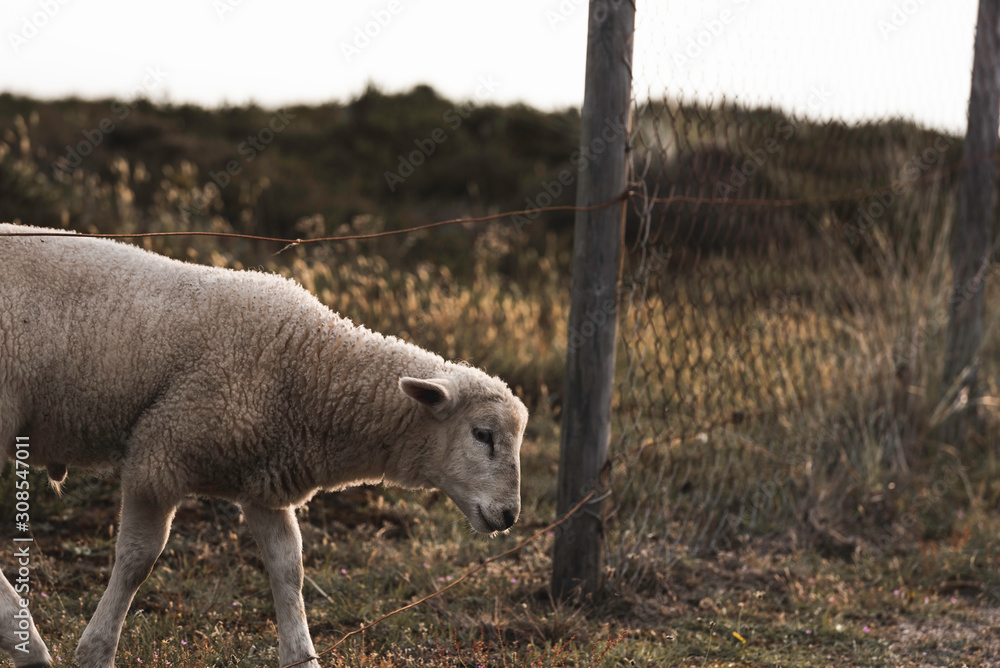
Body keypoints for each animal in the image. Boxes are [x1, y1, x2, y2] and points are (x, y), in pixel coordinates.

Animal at [0, 223, 529, 668]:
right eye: (483, 434)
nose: (509, 515)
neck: (308, 366)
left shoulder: (265, 482)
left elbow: (288, 568)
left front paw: (302, 657)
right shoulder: (159, 456)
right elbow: (136, 561)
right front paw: (95, 651)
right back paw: (28, 643)